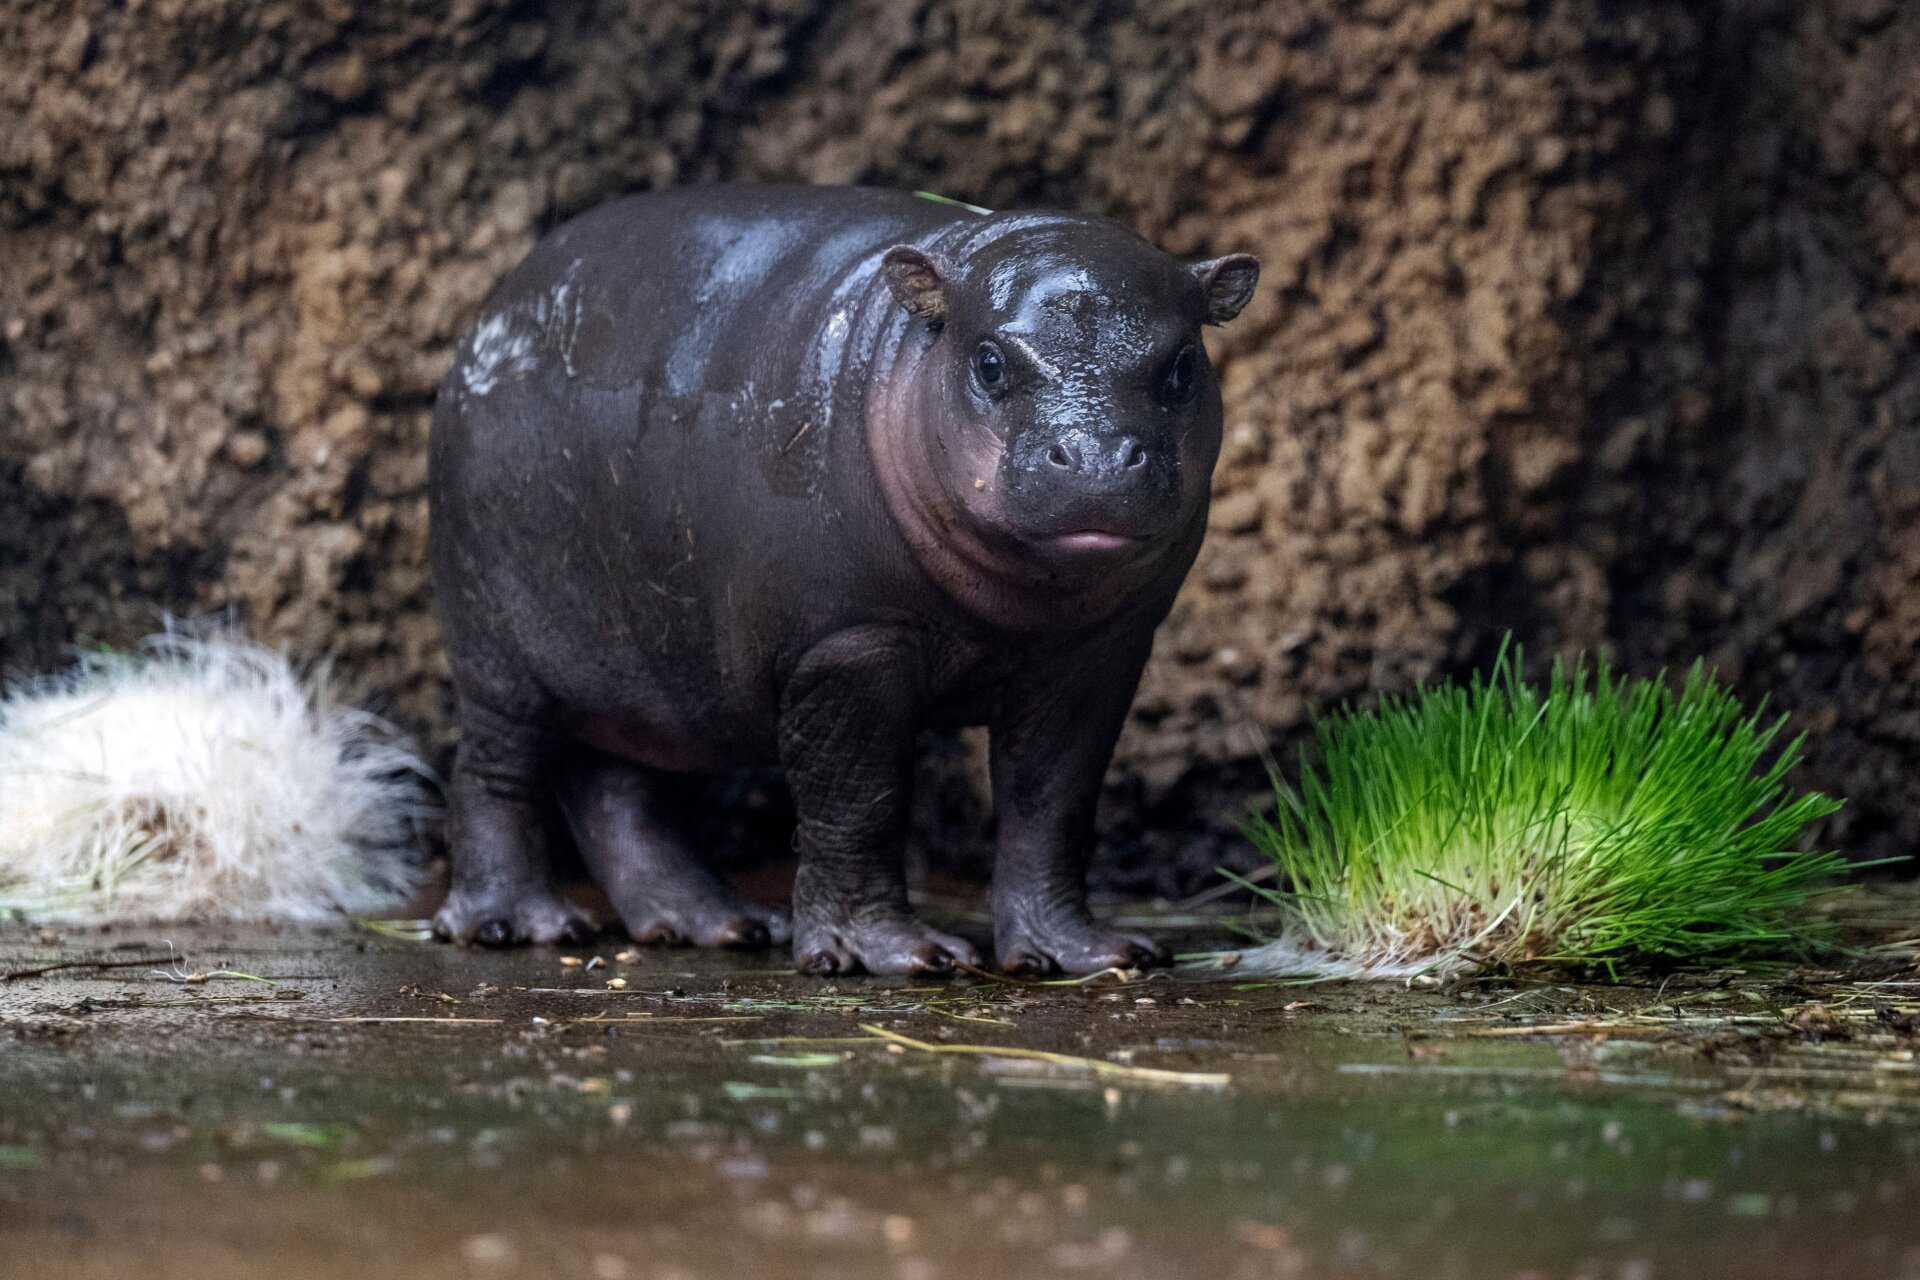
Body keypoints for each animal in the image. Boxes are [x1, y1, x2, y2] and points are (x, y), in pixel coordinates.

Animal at [428, 184, 1258, 975]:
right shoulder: (846, 644)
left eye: (1183, 365)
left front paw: (1091, 955)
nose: (1093, 456)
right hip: (499, 646)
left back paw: (719, 926)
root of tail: (495, 306)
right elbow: (858, 798)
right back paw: (520, 923)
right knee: (494, 773)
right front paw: (895, 955)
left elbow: (1053, 806)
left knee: (622, 792)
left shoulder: (1096, 655)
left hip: (645, 667)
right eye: (989, 362)